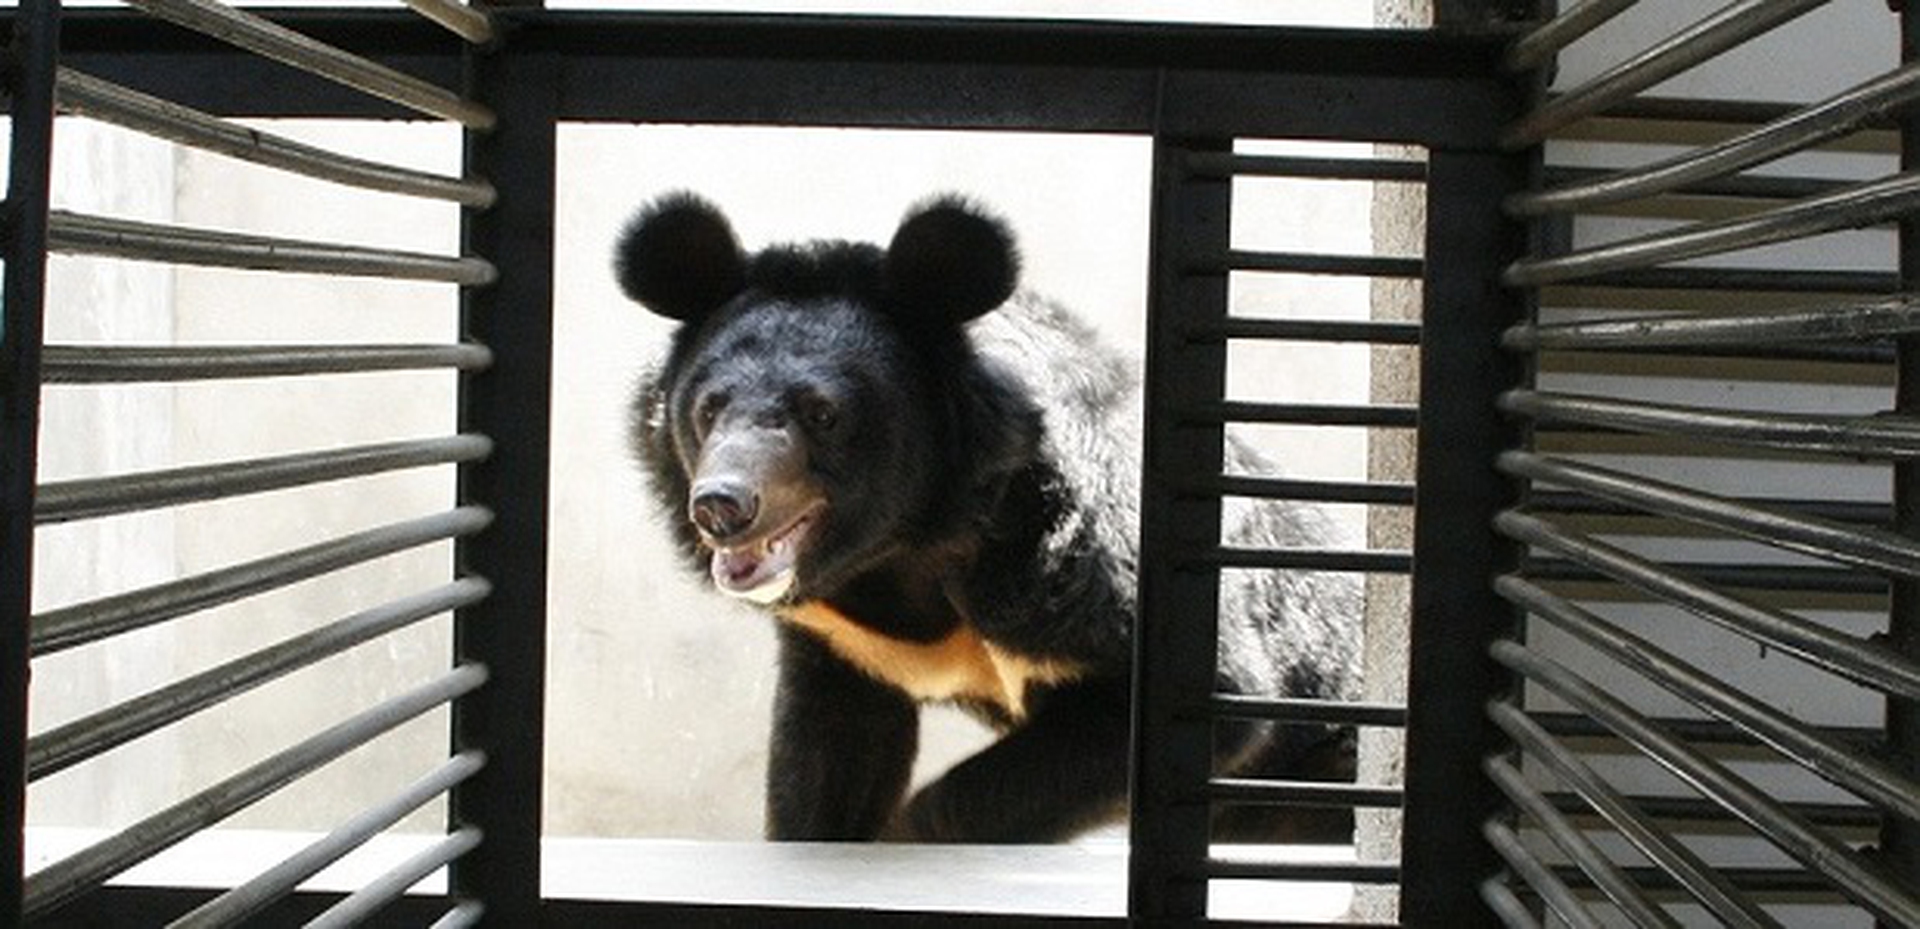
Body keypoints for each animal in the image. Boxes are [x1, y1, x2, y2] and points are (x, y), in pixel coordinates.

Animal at [616, 191, 1360, 843]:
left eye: (821, 414)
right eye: (708, 408)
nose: (722, 505)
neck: (906, 542)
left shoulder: (1073, 565)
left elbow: (1206, 691)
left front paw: (903, 838)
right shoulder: (848, 639)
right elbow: (830, 755)